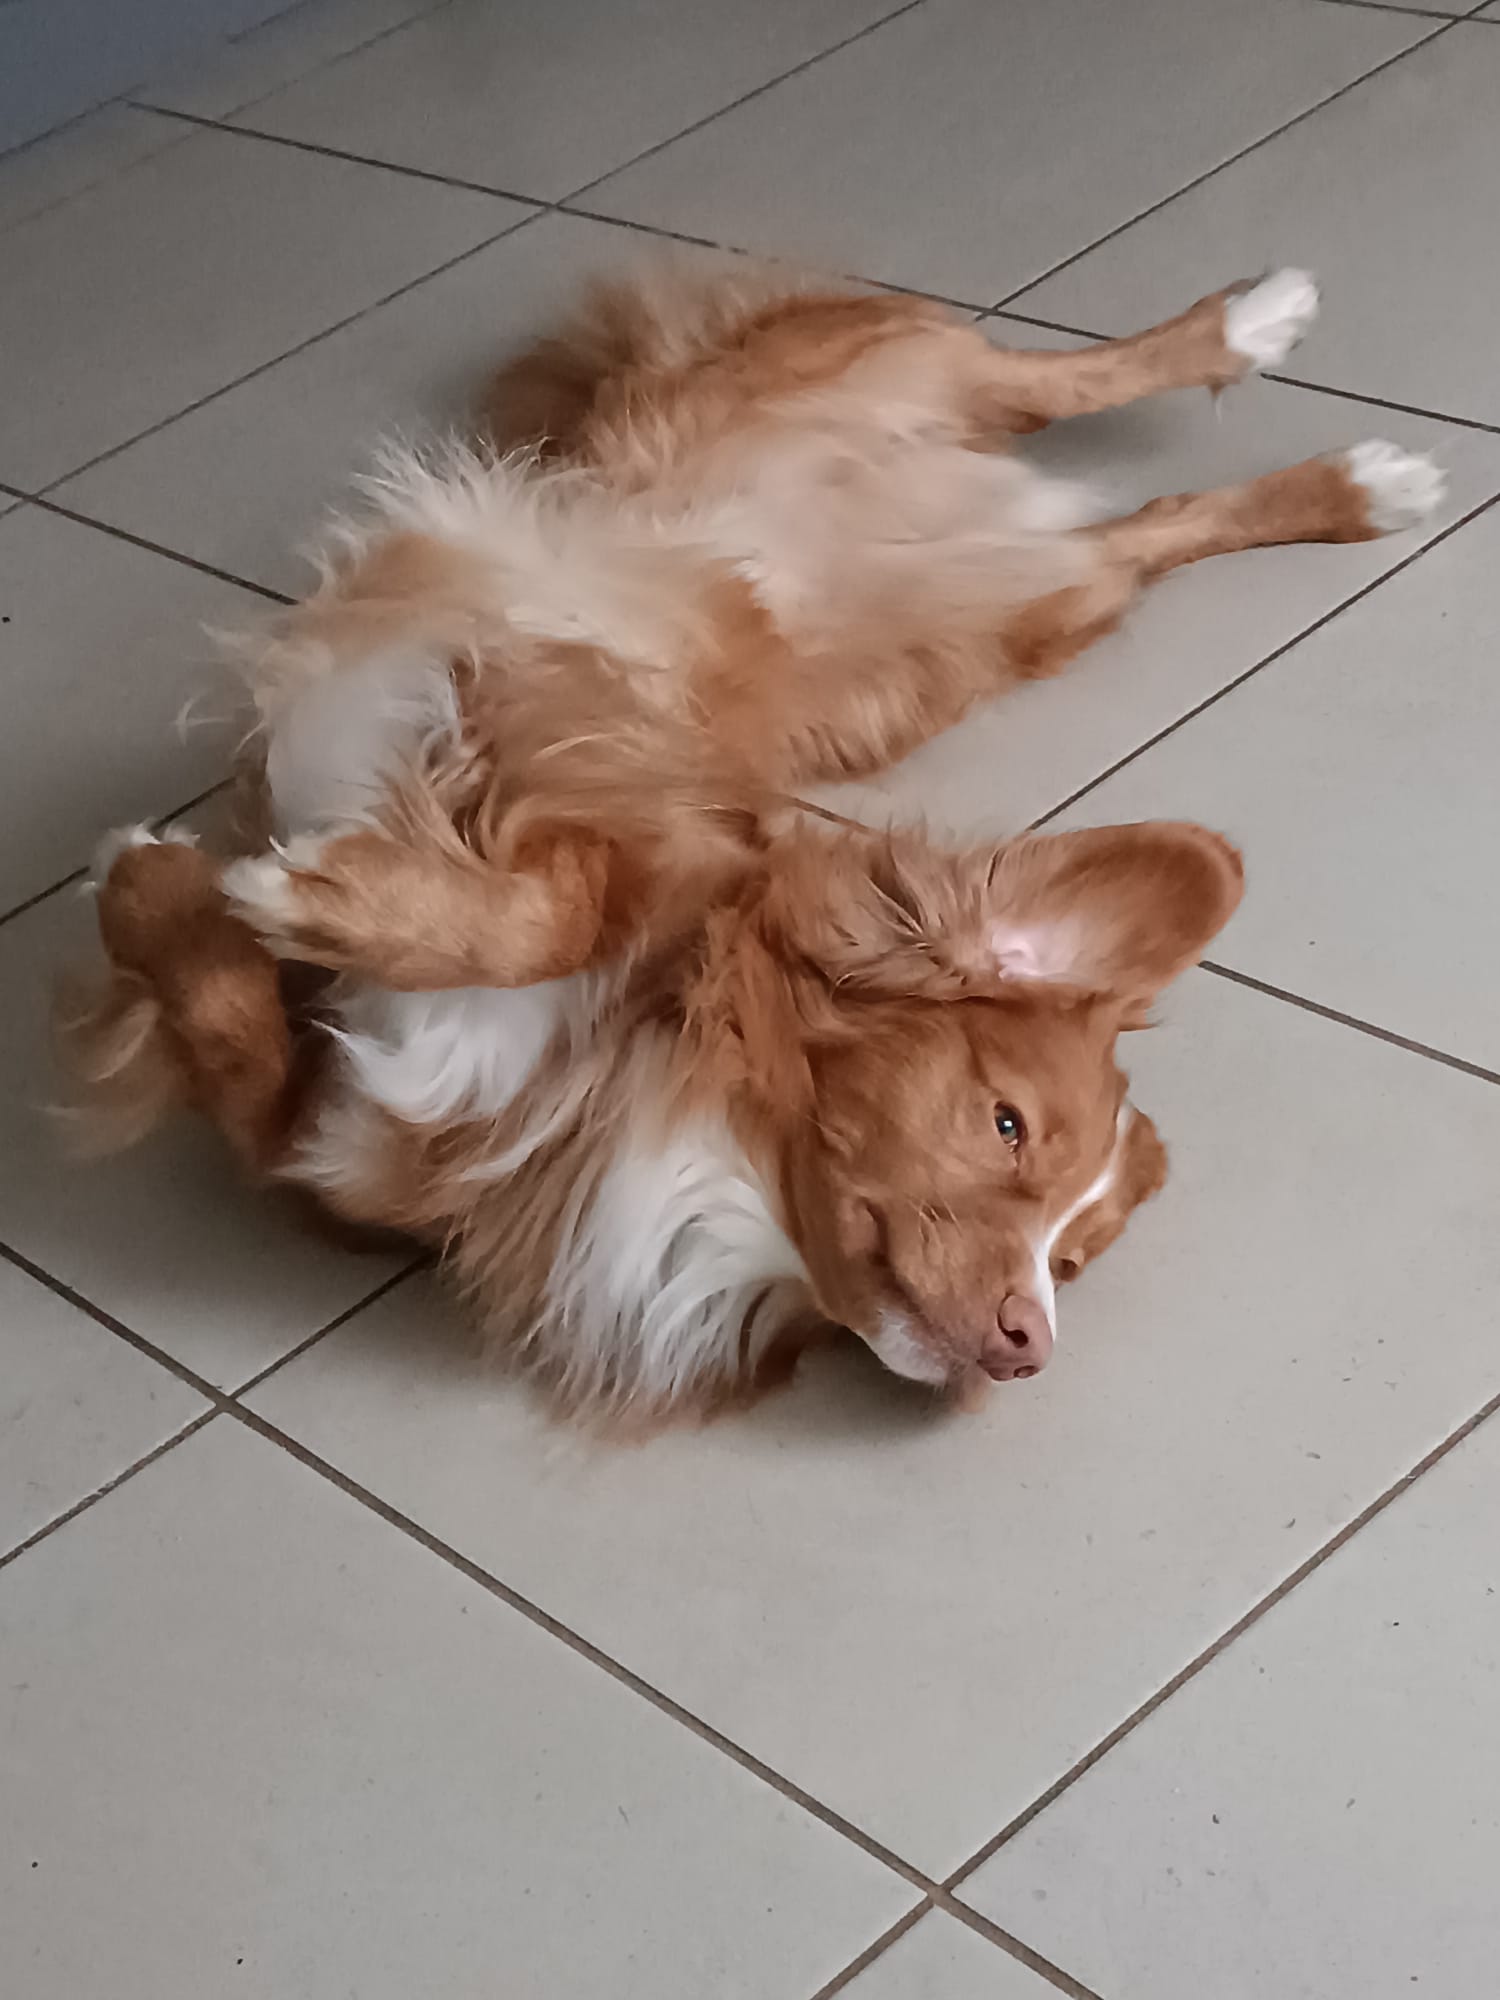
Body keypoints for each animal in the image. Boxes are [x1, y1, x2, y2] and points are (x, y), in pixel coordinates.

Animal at [63, 260, 1443, 1426]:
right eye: (1006, 1127)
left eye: (1074, 1257)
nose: (1027, 1345)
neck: (641, 1072)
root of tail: (992, 496)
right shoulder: (518, 711)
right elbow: (541, 909)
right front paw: (233, 884)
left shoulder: (326, 1138)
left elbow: (269, 1028)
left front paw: (169, 879)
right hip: (895, 378)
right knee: (1057, 380)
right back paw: (1258, 328)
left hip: (1050, 594)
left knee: (1158, 501)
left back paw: (1347, 475)